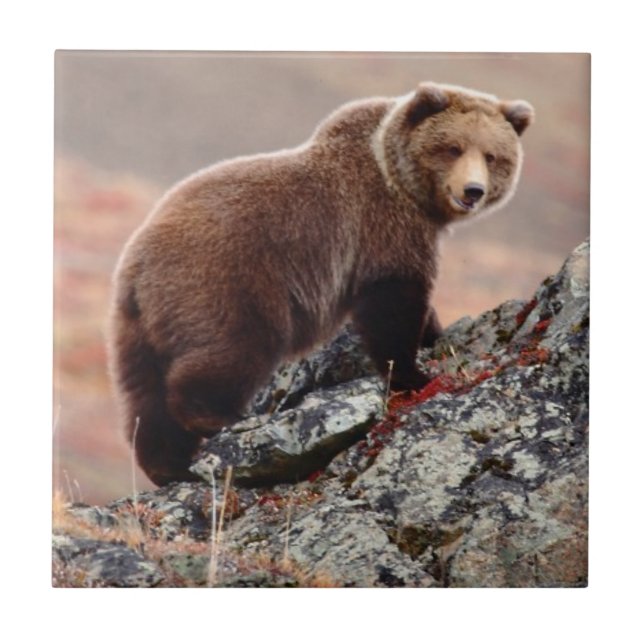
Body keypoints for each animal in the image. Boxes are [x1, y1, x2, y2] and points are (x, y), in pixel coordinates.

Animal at [107, 81, 534, 485]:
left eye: (492, 156)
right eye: (452, 148)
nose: (473, 191)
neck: (403, 185)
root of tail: (137, 265)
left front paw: (433, 335)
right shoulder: (381, 226)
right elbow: (392, 304)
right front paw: (415, 374)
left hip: (137, 326)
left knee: (144, 395)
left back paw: (166, 465)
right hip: (225, 283)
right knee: (233, 349)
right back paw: (215, 419)